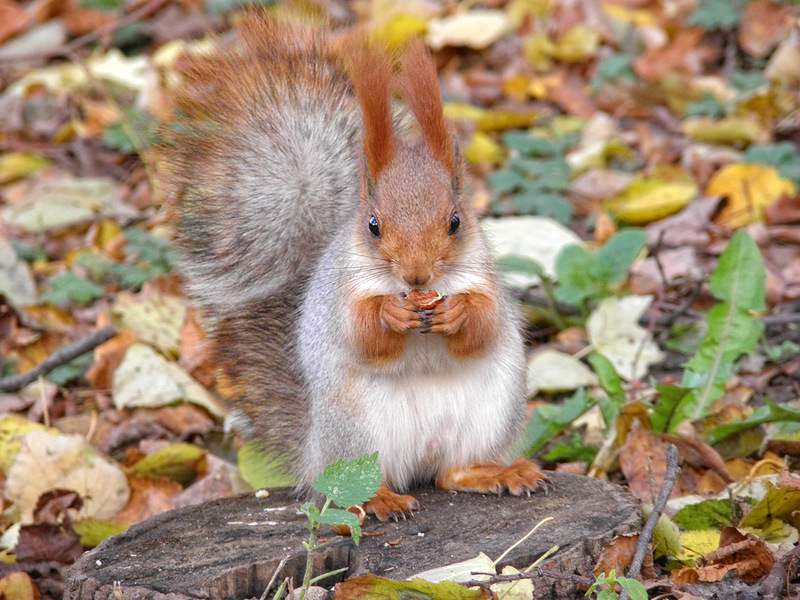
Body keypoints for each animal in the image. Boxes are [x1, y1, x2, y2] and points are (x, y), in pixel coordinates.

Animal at [162, 14, 552, 520]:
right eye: (373, 225)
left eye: (455, 221)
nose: (417, 276)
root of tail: (314, 452)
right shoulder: (341, 294)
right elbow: (363, 335)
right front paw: (390, 313)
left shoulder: (484, 276)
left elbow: (486, 323)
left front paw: (458, 312)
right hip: (358, 429)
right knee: (351, 489)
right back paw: (382, 499)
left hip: (489, 412)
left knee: (452, 473)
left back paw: (498, 473)